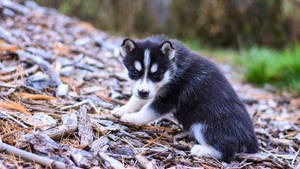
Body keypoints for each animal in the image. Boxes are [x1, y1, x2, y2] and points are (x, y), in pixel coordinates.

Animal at [112, 35, 258, 161]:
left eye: (157, 74)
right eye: (134, 72)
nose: (143, 92)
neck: (175, 66)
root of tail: (251, 138)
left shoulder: (169, 98)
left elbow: (147, 111)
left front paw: (133, 118)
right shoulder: (153, 91)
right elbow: (136, 100)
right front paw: (123, 109)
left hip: (203, 124)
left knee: (228, 151)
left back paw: (202, 150)